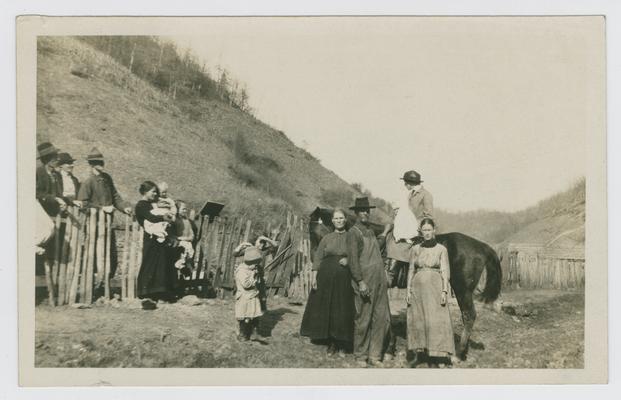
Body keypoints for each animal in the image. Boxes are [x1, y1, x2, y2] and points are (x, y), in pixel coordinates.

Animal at [308, 208, 502, 358]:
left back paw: (459, 353)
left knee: (469, 315)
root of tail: (482, 246)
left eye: (314, 232)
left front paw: (389, 347)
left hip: (463, 290)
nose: (314, 258)